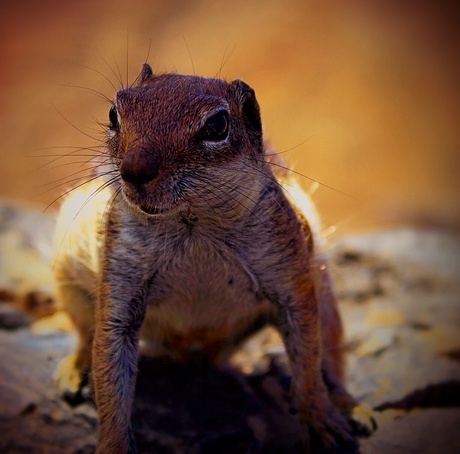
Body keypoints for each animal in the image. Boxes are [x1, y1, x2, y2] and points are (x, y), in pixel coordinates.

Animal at [53, 63, 360, 454]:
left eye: (216, 126)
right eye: (113, 114)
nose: (133, 171)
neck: (192, 222)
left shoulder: (291, 272)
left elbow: (307, 356)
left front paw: (320, 417)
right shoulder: (120, 278)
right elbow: (108, 366)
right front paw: (112, 444)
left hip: (324, 290)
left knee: (330, 352)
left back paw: (350, 405)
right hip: (68, 280)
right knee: (83, 334)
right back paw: (74, 369)